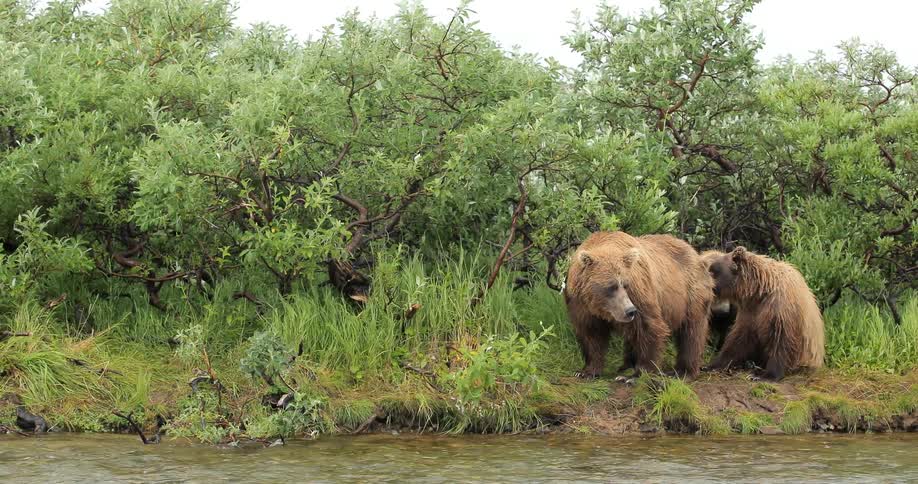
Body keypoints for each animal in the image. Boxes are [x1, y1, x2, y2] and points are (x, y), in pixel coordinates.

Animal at [564, 231, 714, 379]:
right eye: (611, 286)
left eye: (625, 284)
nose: (630, 311)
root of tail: (695, 252)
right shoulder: (581, 304)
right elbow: (591, 333)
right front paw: (587, 371)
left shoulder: (638, 292)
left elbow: (647, 327)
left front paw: (638, 374)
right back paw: (626, 366)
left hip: (691, 292)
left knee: (691, 331)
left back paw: (683, 371)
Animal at [705, 246, 825, 381]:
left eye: (713, 271)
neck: (760, 290)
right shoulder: (751, 310)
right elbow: (739, 338)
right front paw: (712, 365)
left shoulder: (780, 307)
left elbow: (781, 339)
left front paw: (767, 375)